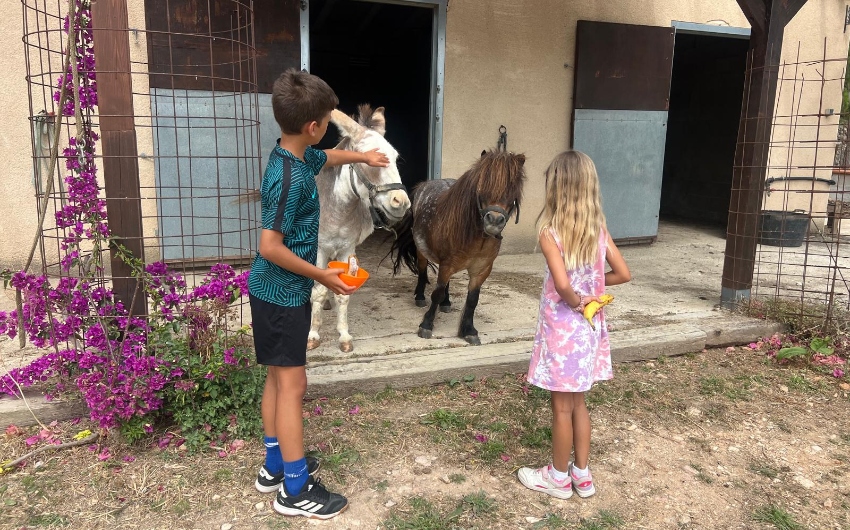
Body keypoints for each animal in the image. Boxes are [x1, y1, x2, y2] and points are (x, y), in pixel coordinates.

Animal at [389, 149, 526, 345]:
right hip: (422, 252)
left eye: (512, 189)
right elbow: (436, 293)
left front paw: (469, 330)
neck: (477, 238)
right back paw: (420, 297)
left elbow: (472, 300)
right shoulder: (447, 264)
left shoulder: (481, 270)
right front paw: (426, 324)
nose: (494, 221)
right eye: (481, 186)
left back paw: (446, 303)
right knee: (422, 272)